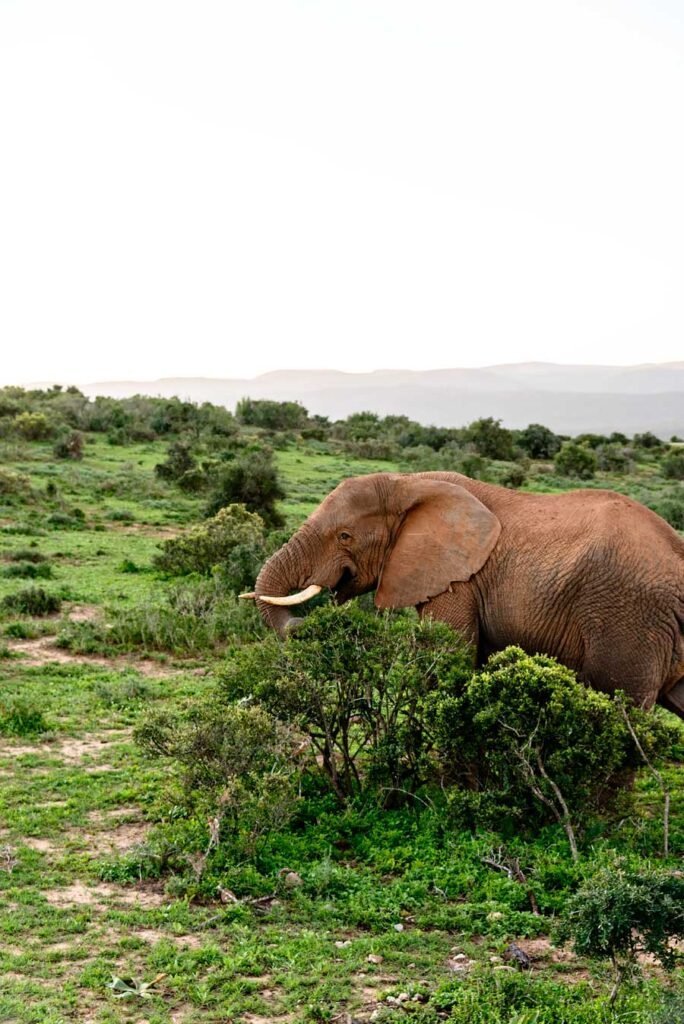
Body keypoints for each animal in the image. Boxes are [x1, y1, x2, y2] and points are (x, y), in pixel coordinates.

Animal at [243, 472, 684, 719]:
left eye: (345, 536)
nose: (304, 623)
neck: (409, 483)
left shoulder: (460, 582)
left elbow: (447, 660)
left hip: (630, 617)